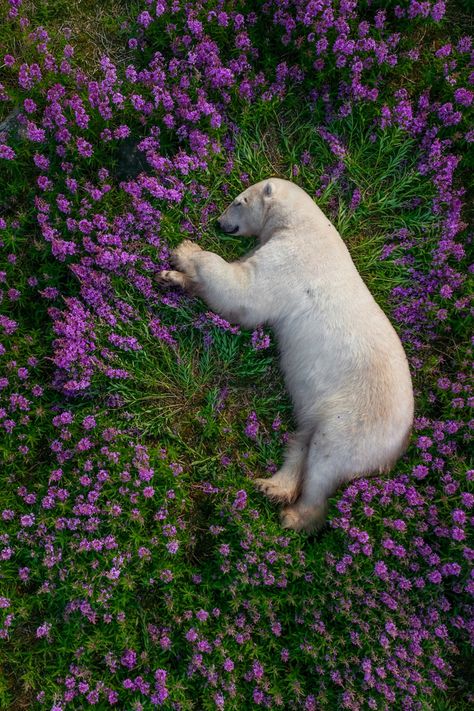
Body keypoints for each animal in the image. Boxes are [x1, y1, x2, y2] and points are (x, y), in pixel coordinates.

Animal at [161, 179, 412, 536]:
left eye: (238, 201)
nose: (219, 223)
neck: (303, 225)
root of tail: (399, 447)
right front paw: (172, 277)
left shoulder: (290, 261)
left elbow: (243, 291)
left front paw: (185, 250)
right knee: (302, 442)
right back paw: (271, 486)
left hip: (356, 421)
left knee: (326, 459)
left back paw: (295, 516)